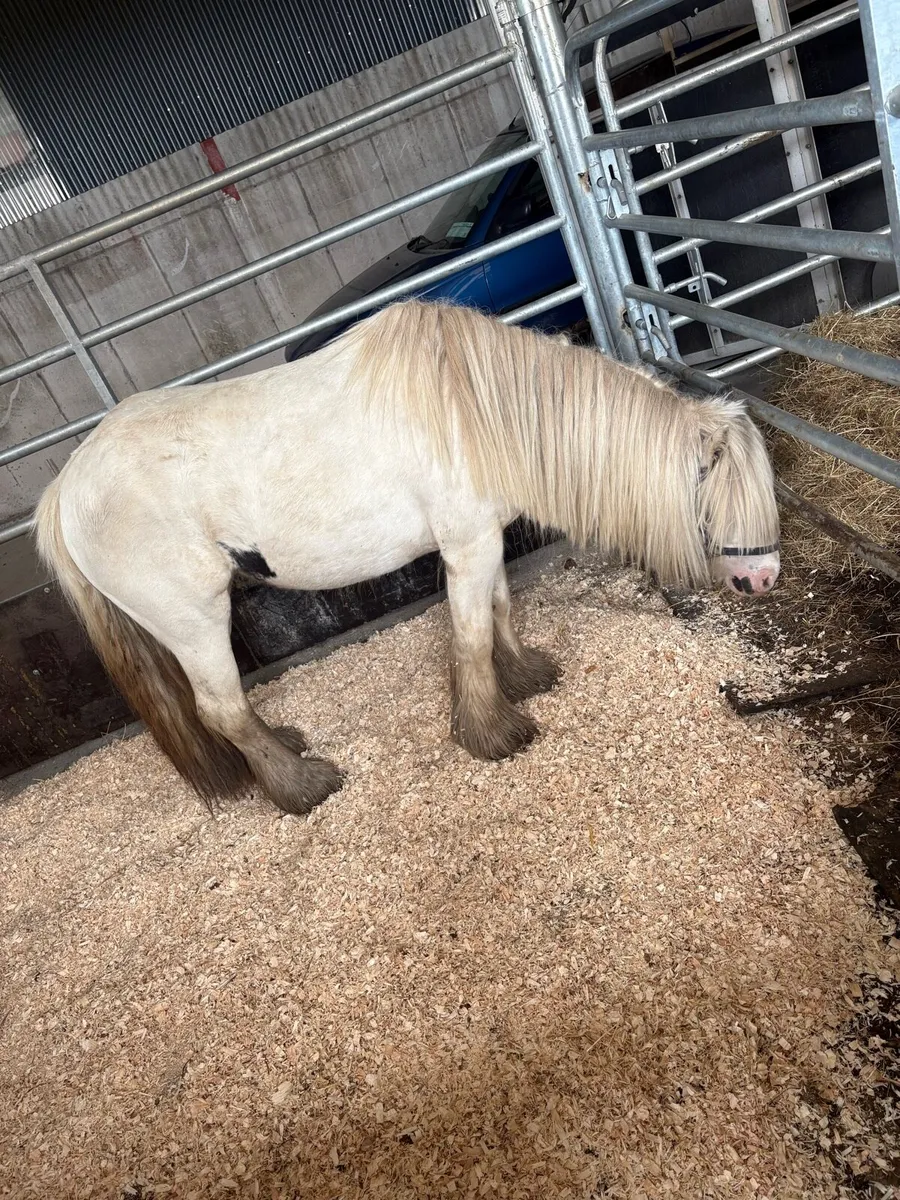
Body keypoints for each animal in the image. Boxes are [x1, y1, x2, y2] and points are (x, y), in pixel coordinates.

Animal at [35, 298, 780, 816]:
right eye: (720, 493)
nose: (762, 578)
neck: (477, 410)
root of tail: (64, 490)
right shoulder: (467, 544)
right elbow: (470, 635)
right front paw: (493, 733)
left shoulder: (483, 540)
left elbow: (499, 610)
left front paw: (525, 676)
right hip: (193, 619)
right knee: (220, 708)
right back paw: (302, 786)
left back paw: (285, 748)